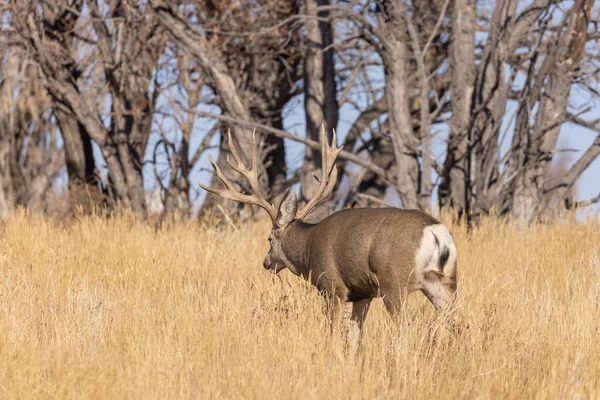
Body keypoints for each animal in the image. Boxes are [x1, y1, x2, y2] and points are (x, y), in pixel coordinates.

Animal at [199, 129, 458, 356]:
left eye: (269, 239)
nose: (266, 262)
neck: (308, 247)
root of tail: (435, 232)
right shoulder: (362, 293)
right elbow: (354, 337)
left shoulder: (332, 285)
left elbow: (333, 332)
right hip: (442, 281)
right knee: (455, 317)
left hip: (394, 282)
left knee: (405, 327)